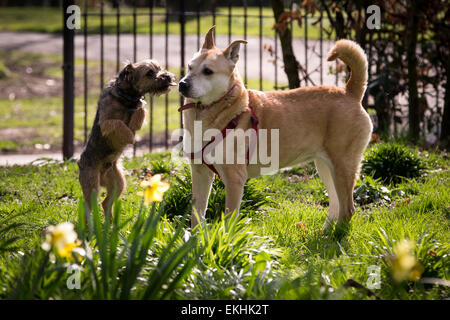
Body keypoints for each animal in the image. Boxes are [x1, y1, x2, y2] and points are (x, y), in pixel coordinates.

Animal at [77, 59, 176, 216]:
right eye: (149, 73)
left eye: (159, 68)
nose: (167, 76)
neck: (126, 97)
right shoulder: (105, 123)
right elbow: (118, 123)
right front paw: (130, 137)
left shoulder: (138, 110)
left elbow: (141, 110)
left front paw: (137, 115)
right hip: (92, 184)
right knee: (89, 207)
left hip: (119, 183)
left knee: (106, 203)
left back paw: (111, 222)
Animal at [178, 26, 372, 229]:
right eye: (190, 66)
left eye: (208, 71)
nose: (182, 84)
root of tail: (349, 92)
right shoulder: (199, 172)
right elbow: (197, 213)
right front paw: (196, 236)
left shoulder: (234, 178)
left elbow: (230, 218)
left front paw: (226, 236)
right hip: (325, 166)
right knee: (336, 204)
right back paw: (325, 232)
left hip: (343, 165)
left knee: (348, 209)